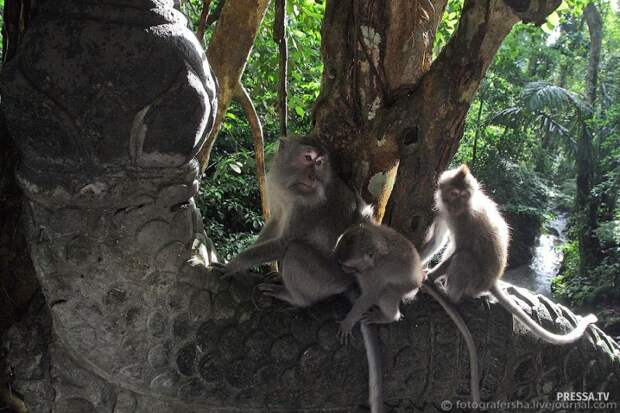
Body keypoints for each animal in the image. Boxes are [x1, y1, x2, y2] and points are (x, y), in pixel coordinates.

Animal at [336, 222, 482, 402]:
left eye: (348, 265)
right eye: (341, 262)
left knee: (386, 293)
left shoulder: (375, 275)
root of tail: (419, 278)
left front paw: (347, 324)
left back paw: (388, 317)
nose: (342, 268)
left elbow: (369, 296)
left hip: (405, 290)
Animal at [422, 163, 596, 342]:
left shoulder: (466, 220)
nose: (457, 205)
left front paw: (430, 277)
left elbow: (461, 249)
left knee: (464, 257)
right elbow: (437, 241)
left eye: (464, 196)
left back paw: (449, 297)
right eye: (454, 194)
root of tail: (491, 283)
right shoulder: (443, 213)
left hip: (476, 283)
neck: (460, 211)